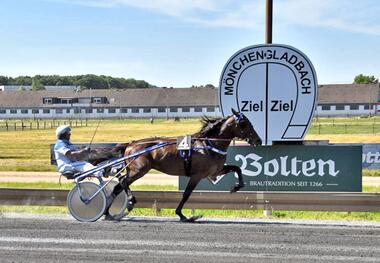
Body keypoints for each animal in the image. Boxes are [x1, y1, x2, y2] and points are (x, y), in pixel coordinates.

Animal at [105, 109, 262, 223]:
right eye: (244, 123)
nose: (258, 140)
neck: (208, 144)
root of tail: (130, 144)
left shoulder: (215, 171)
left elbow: (237, 168)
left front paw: (237, 186)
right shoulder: (197, 175)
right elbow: (186, 194)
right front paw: (182, 215)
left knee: (117, 187)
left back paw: (107, 213)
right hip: (139, 170)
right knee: (123, 181)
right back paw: (131, 201)